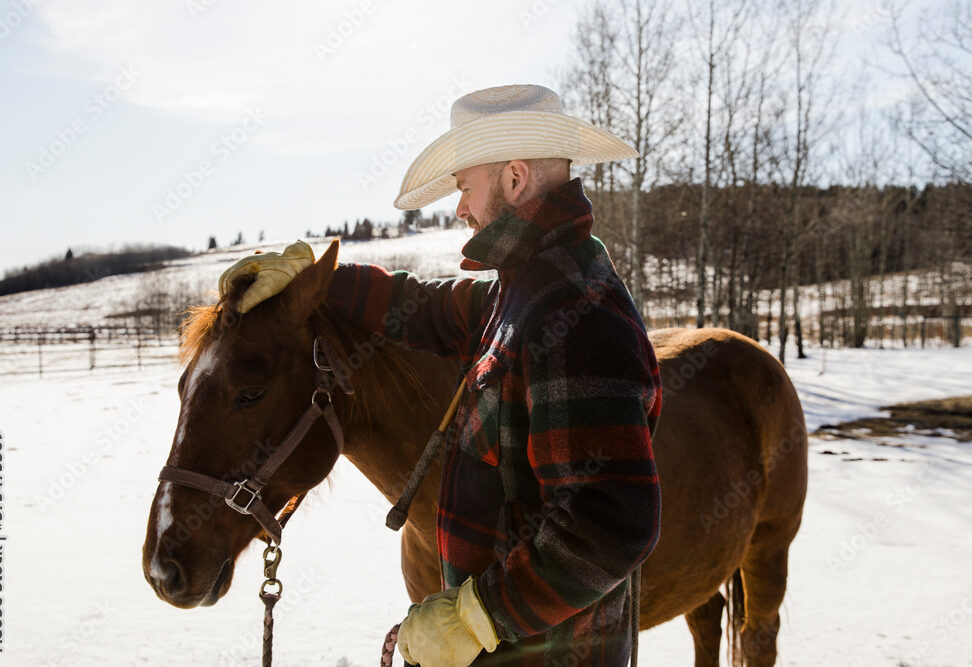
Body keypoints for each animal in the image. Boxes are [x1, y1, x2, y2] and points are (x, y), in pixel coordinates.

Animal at [140, 240, 808, 667]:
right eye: (181, 387)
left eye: (249, 392)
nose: (162, 569)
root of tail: (755, 352)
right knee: (707, 621)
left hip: (768, 551)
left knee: (757, 636)